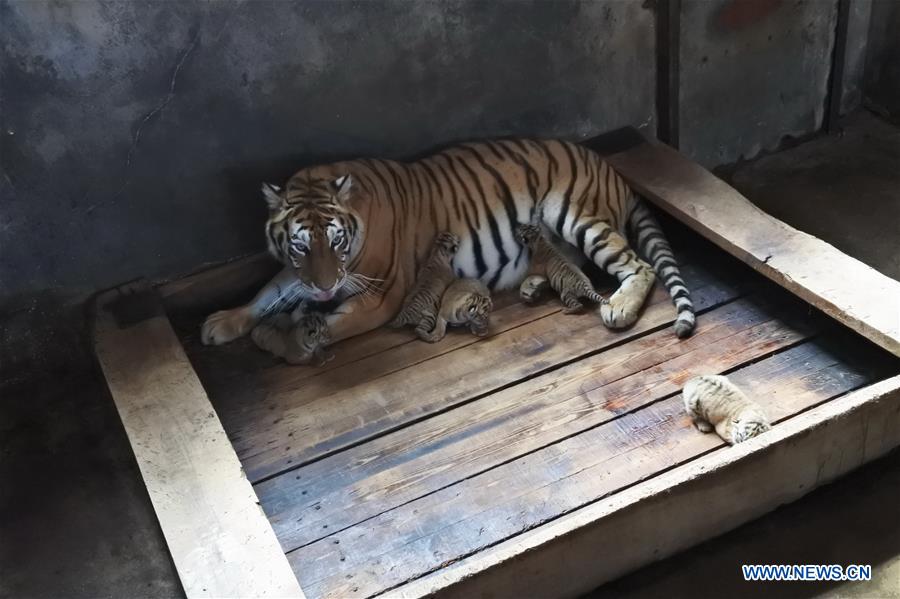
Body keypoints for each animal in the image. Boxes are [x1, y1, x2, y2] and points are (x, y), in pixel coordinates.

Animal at [200, 138, 696, 350]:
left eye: (337, 240)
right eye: (301, 247)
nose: (323, 289)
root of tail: (612, 170)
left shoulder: (380, 297)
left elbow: (333, 325)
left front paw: (288, 336)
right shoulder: (299, 273)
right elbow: (268, 293)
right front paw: (223, 322)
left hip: (577, 216)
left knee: (639, 265)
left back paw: (619, 308)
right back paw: (533, 285)